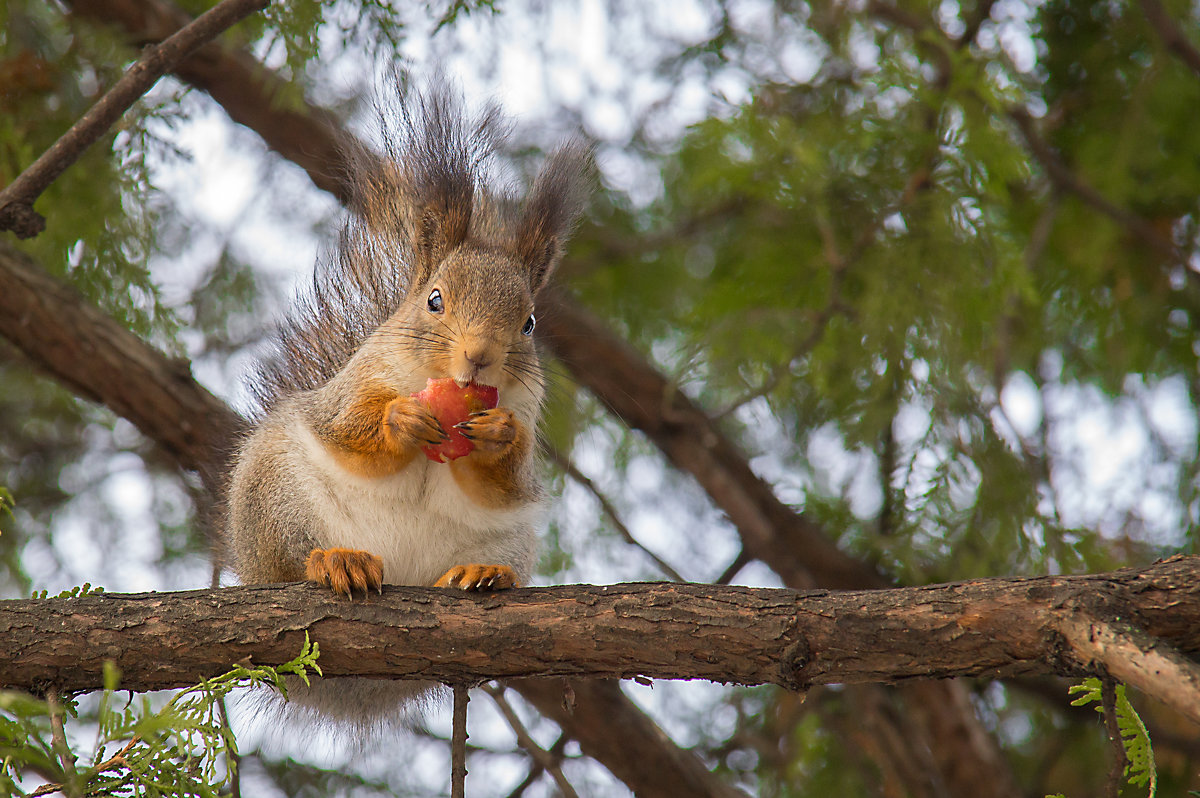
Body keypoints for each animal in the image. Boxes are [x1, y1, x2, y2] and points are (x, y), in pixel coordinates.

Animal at [225, 82, 590, 720]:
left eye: (529, 322)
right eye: (435, 300)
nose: (479, 356)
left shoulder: (526, 414)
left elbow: (510, 479)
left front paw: (498, 434)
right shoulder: (356, 383)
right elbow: (349, 424)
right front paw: (401, 418)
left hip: (513, 537)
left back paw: (483, 573)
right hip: (275, 498)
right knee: (289, 562)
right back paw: (335, 560)